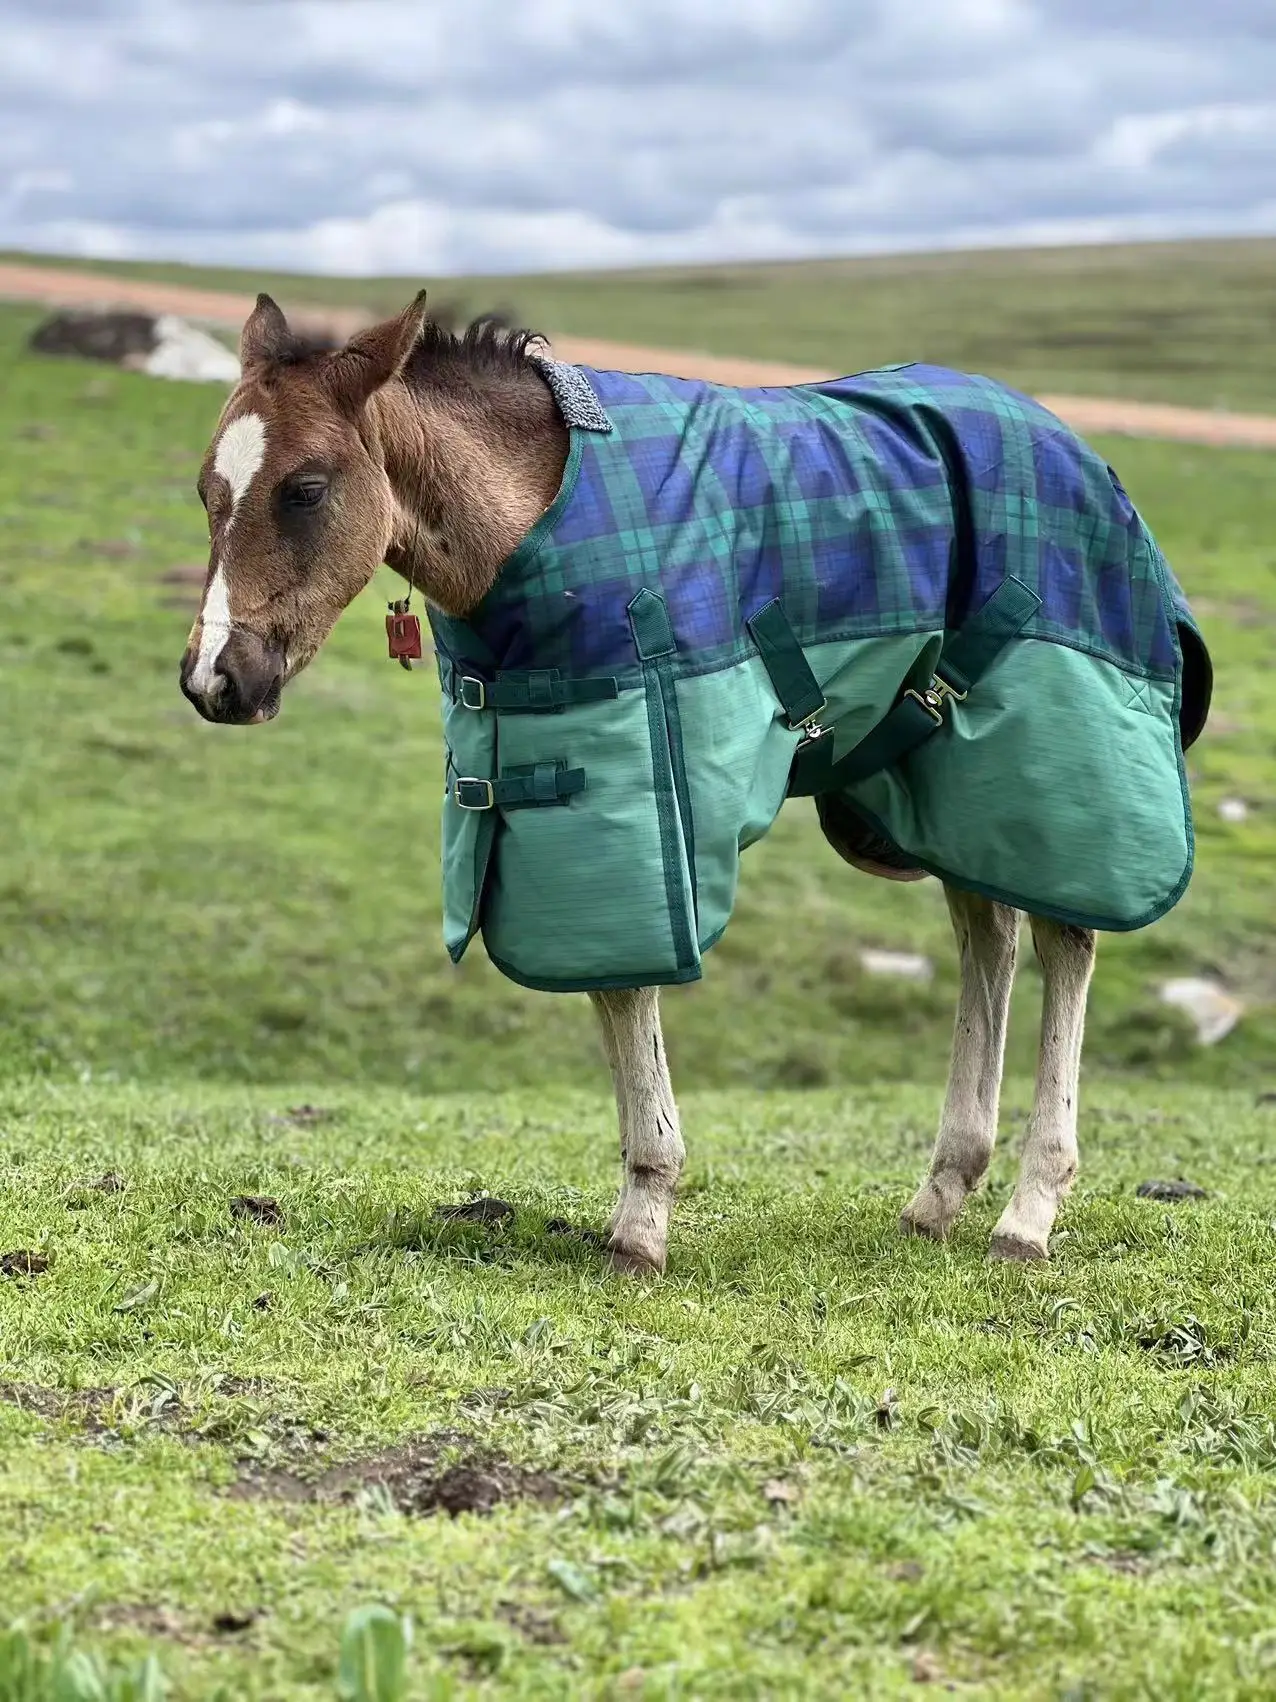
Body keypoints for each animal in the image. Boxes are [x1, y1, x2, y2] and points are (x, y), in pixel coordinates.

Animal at [180, 292, 1209, 1277]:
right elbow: (606, 988)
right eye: (207, 490)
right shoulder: (554, 807)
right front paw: (636, 1208)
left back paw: (1030, 1209)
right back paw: (942, 1191)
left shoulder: (639, 785)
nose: (214, 681)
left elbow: (631, 989)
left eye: (306, 489)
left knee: (1066, 936)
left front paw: (643, 1221)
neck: (539, 515)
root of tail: (1074, 444)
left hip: (1051, 762)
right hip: (952, 782)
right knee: (988, 934)